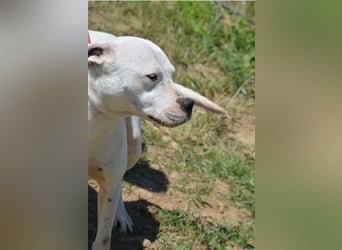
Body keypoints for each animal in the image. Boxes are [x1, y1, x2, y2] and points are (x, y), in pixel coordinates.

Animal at [88, 30, 227, 249]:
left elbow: (103, 237)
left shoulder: (109, 184)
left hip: (134, 147)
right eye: (153, 77)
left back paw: (121, 215)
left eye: (172, 74)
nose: (189, 103)